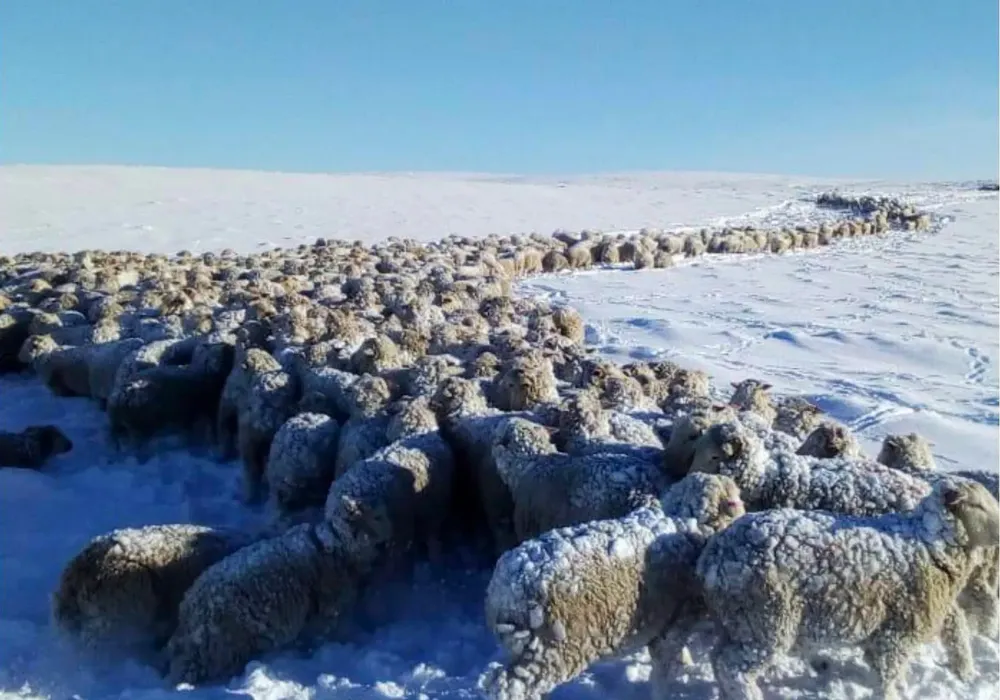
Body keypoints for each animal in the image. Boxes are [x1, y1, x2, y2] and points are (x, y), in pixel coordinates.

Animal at [165, 516, 389, 685]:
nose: (383, 545)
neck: (333, 545)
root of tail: (189, 611)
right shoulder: (328, 609)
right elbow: (322, 634)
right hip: (221, 648)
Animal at [478, 473, 745, 700]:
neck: (687, 519)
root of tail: (504, 593)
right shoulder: (677, 620)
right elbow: (664, 666)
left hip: (525, 649)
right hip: (550, 651)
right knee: (507, 688)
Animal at [696, 479, 1000, 700]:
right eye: (979, 506)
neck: (931, 544)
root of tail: (716, 551)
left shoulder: (889, 632)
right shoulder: (896, 634)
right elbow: (888, 675)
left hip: (738, 622)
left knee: (718, 659)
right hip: (767, 623)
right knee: (733, 669)